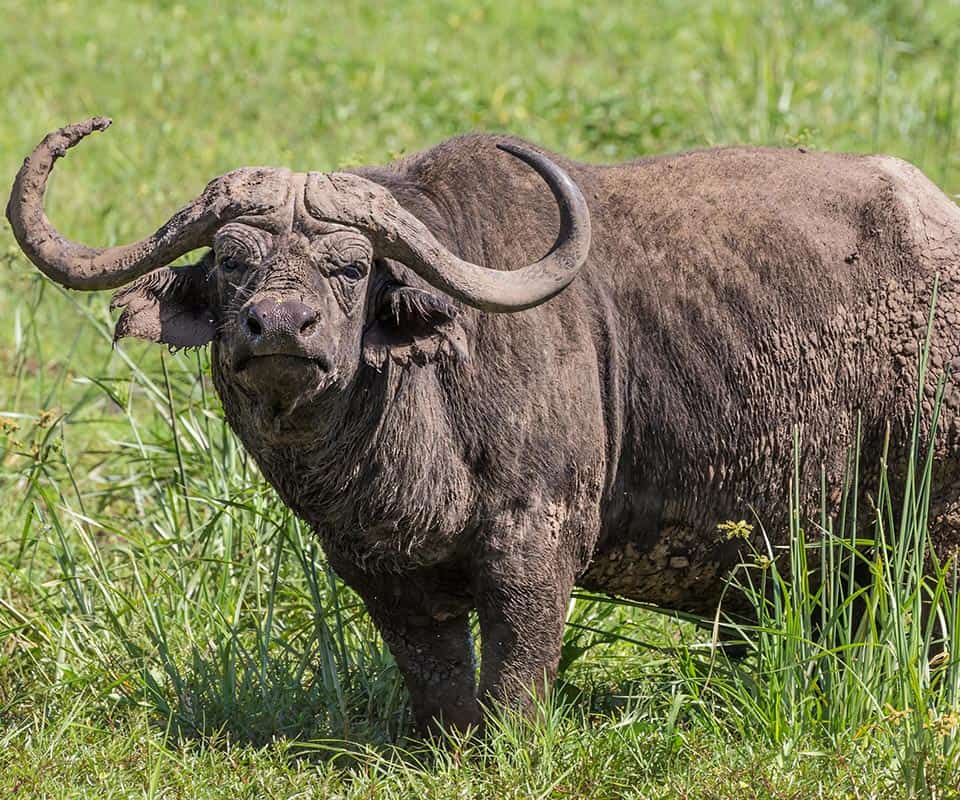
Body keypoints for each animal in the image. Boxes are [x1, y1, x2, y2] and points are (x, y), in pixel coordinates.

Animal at [7, 115, 960, 736]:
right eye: (234, 261)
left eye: (351, 268)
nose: (279, 326)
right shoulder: (375, 569)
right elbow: (435, 674)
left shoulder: (538, 536)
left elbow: (518, 668)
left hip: (934, 529)